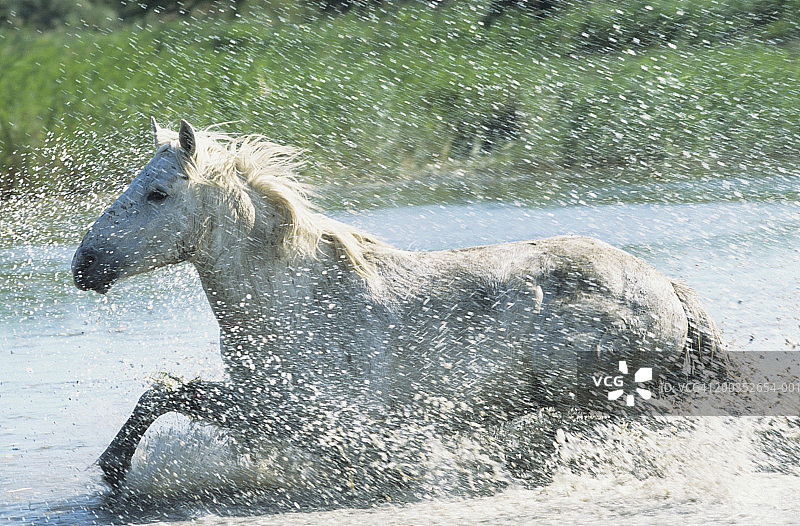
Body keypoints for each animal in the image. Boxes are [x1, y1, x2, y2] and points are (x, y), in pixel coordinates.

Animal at [72, 118, 730, 487]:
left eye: (157, 193)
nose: (83, 265)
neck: (293, 298)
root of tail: (668, 288)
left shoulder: (314, 418)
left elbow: (169, 389)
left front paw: (114, 466)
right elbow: (168, 388)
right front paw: (113, 465)